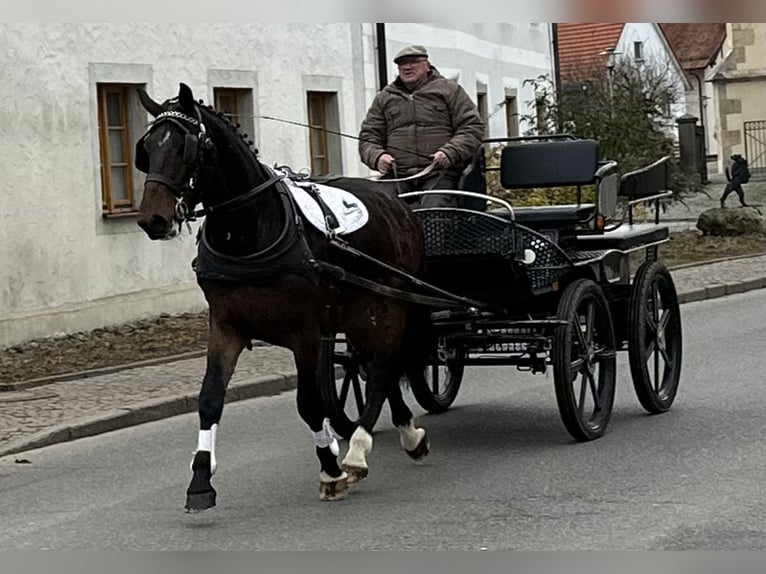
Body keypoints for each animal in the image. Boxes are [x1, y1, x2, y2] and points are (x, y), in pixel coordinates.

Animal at [133, 82, 432, 512]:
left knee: (383, 367)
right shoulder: (226, 325)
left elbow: (309, 403)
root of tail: (397, 201)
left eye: (185, 148)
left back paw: (358, 450)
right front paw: (200, 480)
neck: (249, 230)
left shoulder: (304, 332)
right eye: (146, 149)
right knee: (376, 364)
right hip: (358, 313)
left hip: (388, 305)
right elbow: (210, 399)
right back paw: (406, 433)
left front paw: (331, 469)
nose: (152, 220)